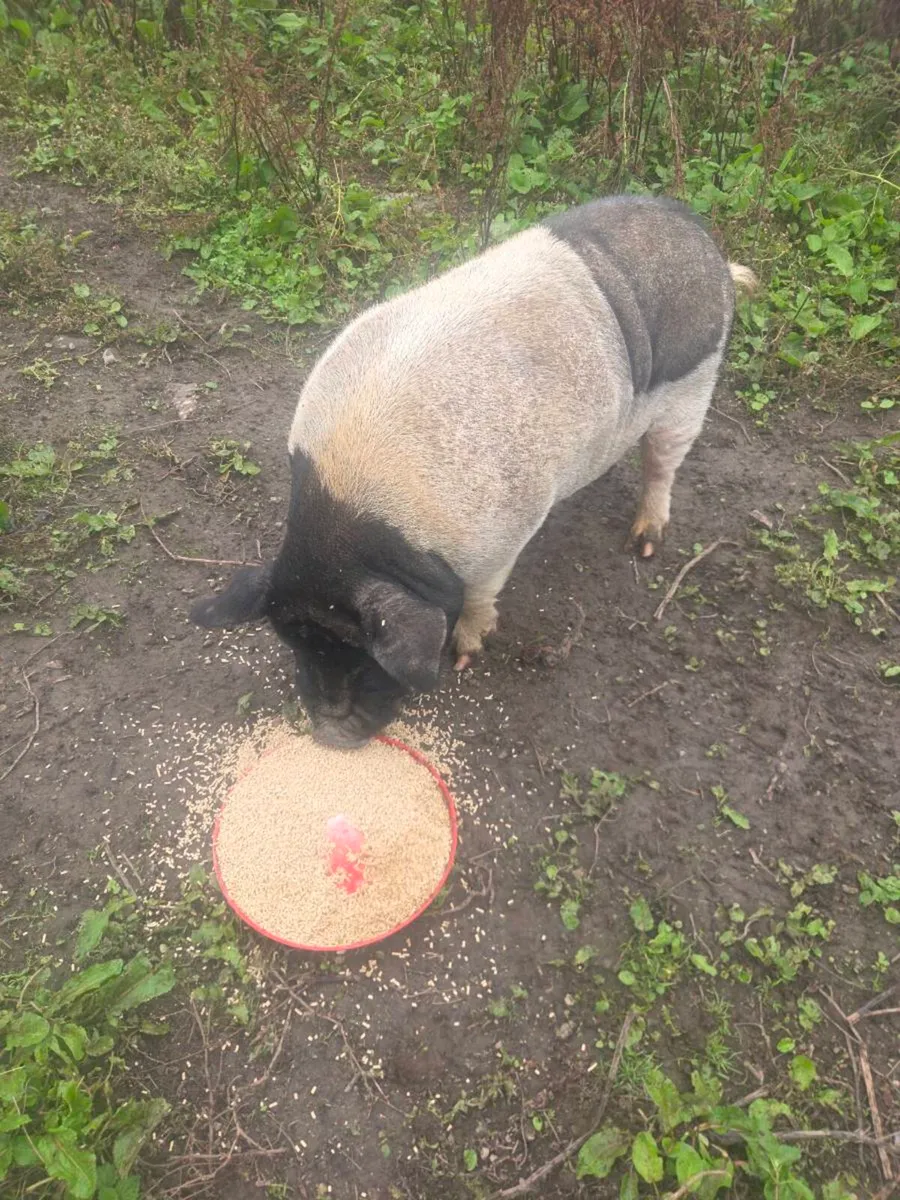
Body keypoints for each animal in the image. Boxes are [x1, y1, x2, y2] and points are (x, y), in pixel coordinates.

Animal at [190, 195, 757, 748]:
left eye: (364, 657)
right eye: (295, 645)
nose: (328, 733)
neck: (359, 513)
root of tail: (701, 239)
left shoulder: (503, 536)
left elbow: (482, 597)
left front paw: (464, 656)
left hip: (695, 384)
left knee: (663, 462)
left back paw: (644, 544)